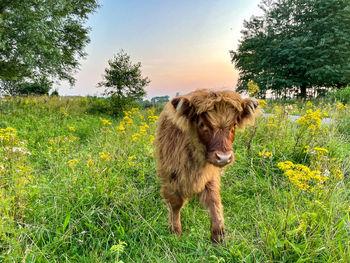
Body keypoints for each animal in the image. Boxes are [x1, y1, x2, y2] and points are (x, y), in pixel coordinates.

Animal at [156, 90, 260, 243]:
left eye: (234, 125)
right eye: (202, 124)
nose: (224, 157)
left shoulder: (211, 176)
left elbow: (214, 202)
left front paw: (218, 237)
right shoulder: (171, 176)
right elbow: (175, 204)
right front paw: (175, 232)